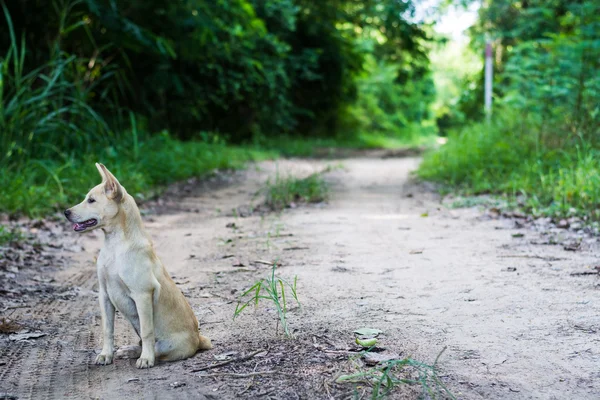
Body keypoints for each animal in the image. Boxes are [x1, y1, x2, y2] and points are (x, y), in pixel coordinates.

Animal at [63, 162, 212, 368]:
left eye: (91, 200)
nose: (65, 212)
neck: (115, 245)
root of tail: (199, 339)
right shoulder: (104, 295)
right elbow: (107, 330)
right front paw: (106, 354)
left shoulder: (142, 295)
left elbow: (147, 331)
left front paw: (146, 359)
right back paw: (129, 350)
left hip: (169, 346)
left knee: (154, 348)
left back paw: (145, 355)